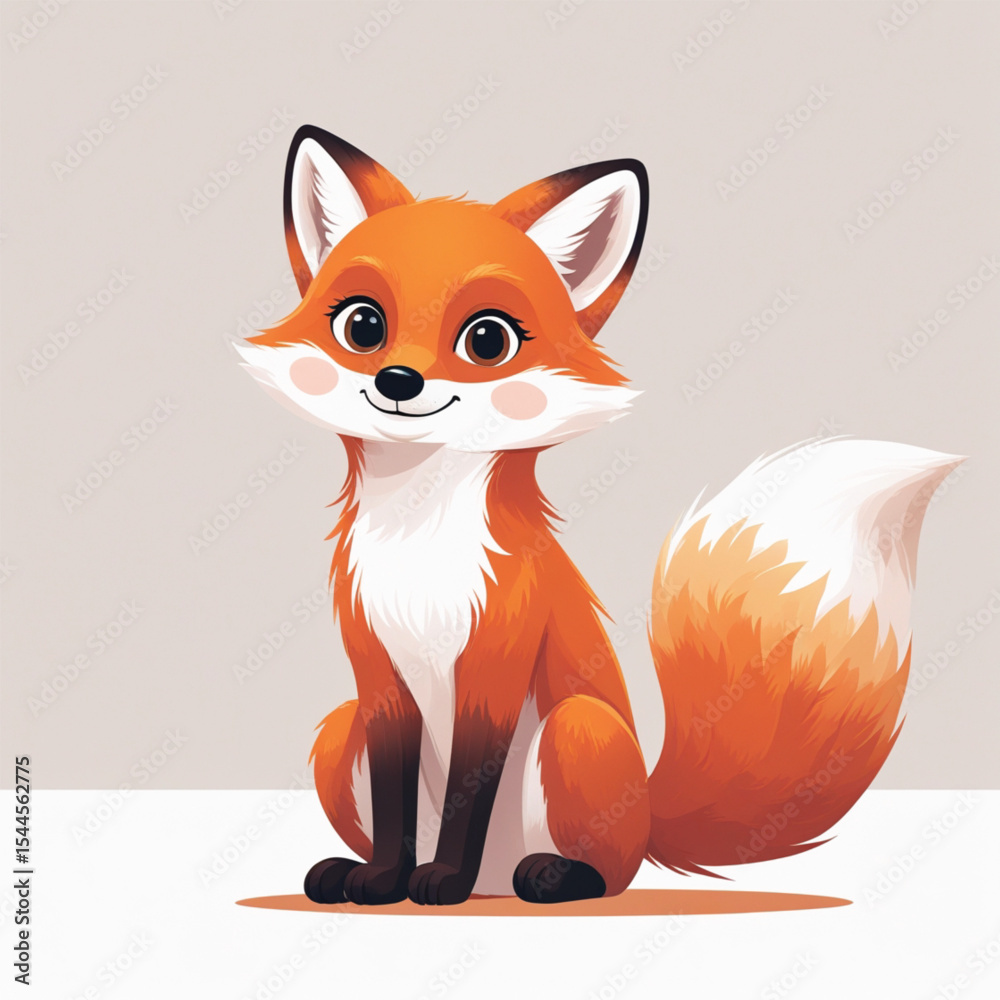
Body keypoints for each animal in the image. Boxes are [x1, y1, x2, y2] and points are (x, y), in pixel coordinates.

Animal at [235, 125, 963, 906]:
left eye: (486, 339)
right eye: (363, 324)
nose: (398, 381)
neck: (420, 544)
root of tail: (649, 815)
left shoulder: (496, 663)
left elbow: (469, 791)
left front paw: (443, 881)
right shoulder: (375, 678)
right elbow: (395, 802)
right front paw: (381, 880)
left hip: (577, 731)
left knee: (609, 874)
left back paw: (543, 876)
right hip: (337, 734)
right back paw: (354, 870)